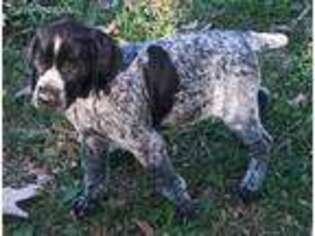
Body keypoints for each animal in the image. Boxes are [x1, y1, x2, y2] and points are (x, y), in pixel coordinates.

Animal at [27, 18, 288, 219]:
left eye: (72, 66)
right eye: (40, 62)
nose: (45, 97)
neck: (93, 94)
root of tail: (242, 36)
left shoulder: (148, 144)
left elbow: (168, 182)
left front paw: (187, 209)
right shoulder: (92, 140)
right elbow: (94, 176)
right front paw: (89, 202)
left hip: (236, 112)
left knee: (263, 143)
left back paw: (252, 184)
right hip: (239, 102)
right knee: (262, 96)